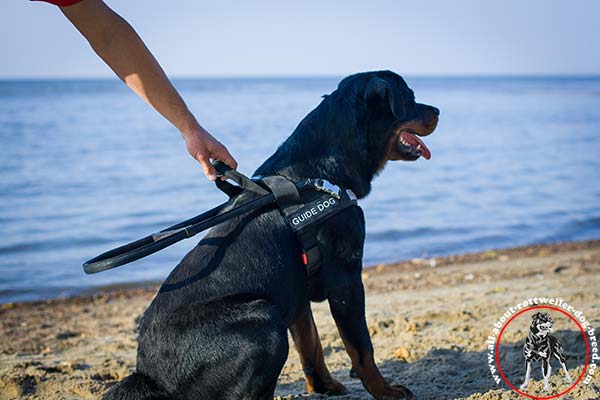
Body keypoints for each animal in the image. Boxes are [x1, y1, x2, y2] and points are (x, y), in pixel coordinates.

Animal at [103, 70, 438, 398]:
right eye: (410, 98)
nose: (437, 111)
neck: (319, 174)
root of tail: (150, 377)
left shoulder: (298, 292)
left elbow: (311, 344)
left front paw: (324, 386)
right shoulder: (346, 278)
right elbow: (361, 347)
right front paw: (385, 391)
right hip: (263, 321)